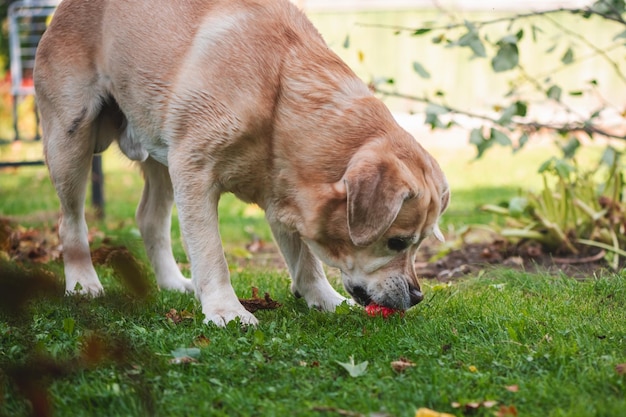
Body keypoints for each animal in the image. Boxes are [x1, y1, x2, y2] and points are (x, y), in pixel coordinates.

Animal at [34, 0, 448, 324]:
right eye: (397, 242)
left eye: (419, 243)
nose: (417, 296)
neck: (282, 94)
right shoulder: (194, 171)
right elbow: (211, 253)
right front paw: (225, 310)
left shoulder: (284, 192)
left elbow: (305, 259)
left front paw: (323, 298)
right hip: (71, 140)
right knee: (70, 222)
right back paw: (83, 282)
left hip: (160, 154)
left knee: (149, 219)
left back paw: (171, 282)